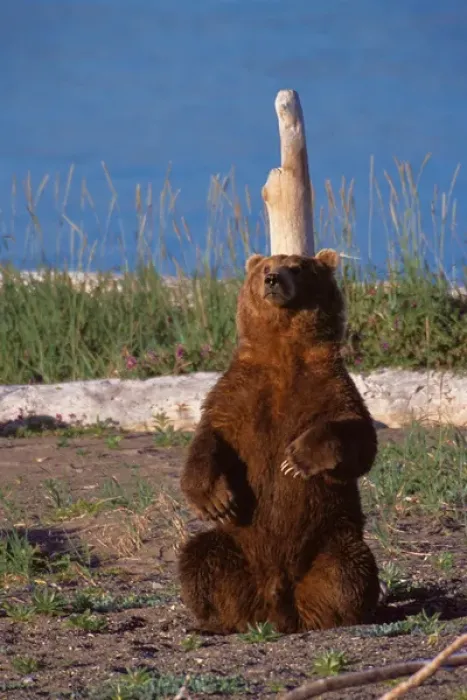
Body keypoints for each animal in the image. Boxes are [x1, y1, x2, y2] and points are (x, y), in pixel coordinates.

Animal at [177, 248, 380, 635]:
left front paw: (296, 458)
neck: (284, 350)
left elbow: (358, 437)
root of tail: (275, 601)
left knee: (348, 570)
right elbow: (209, 436)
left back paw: (337, 618)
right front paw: (215, 501)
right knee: (200, 557)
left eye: (297, 267)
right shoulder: (238, 393)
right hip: (237, 546)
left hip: (330, 539)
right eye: (265, 267)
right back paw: (217, 621)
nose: (273, 279)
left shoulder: (330, 385)